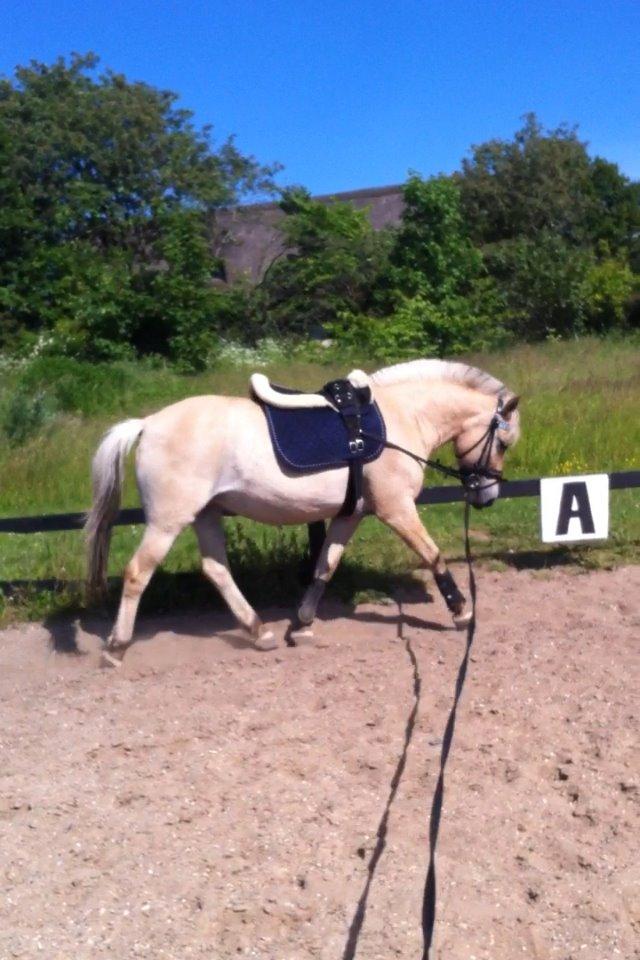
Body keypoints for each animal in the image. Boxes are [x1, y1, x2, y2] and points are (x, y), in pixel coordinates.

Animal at [85, 359, 520, 653]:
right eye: (502, 442)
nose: (486, 497)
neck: (401, 419)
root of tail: (148, 423)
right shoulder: (396, 509)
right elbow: (433, 556)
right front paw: (461, 611)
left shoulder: (351, 514)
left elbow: (325, 566)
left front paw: (303, 624)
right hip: (168, 521)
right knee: (138, 572)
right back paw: (117, 646)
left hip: (205, 515)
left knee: (216, 570)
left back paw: (259, 631)